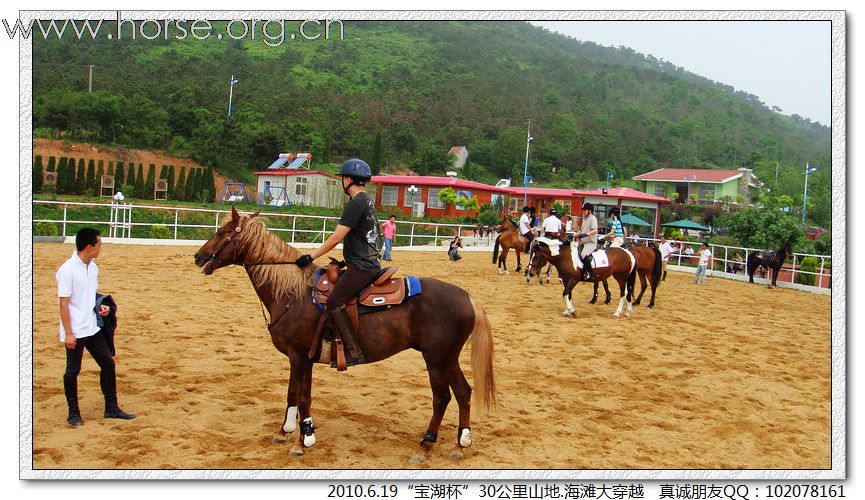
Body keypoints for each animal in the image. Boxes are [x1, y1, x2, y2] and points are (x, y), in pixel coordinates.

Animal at [192, 207, 496, 460]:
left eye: (222, 233)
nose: (198, 256)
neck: (292, 293)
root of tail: (468, 297)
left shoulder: (299, 356)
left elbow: (302, 397)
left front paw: (302, 441)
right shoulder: (300, 358)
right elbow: (294, 394)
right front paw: (286, 432)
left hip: (436, 360)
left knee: (442, 398)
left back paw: (426, 445)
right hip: (447, 359)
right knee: (464, 392)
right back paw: (460, 444)